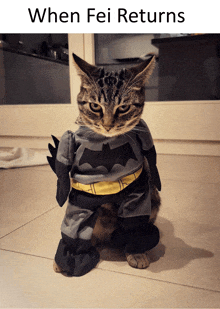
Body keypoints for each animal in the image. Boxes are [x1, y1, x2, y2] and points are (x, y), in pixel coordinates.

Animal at [49, 52, 161, 274]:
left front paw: (136, 252)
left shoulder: (139, 194)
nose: (108, 125)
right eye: (95, 106)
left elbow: (135, 224)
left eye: (123, 107)